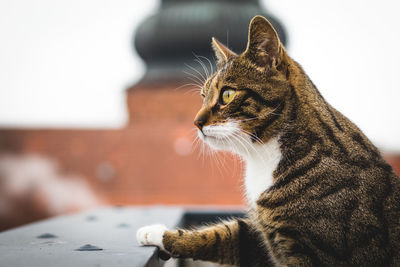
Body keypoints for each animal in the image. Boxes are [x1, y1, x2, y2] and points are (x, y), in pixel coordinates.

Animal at [138, 15, 400, 266]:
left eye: (227, 94)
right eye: (203, 96)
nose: (196, 122)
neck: (263, 156)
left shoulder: (312, 251)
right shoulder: (261, 234)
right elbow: (223, 235)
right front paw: (157, 234)